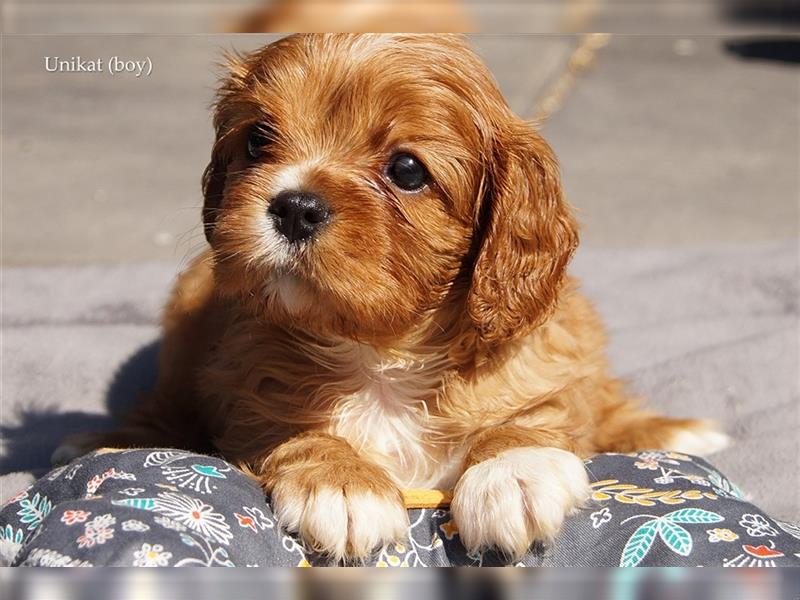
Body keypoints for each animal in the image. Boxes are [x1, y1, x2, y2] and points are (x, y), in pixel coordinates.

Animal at [59, 35, 728, 564]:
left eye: (407, 170)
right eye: (258, 140)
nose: (294, 206)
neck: (384, 354)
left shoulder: (544, 356)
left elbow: (541, 412)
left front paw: (513, 471)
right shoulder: (243, 372)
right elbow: (286, 422)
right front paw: (343, 483)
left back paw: (669, 430)